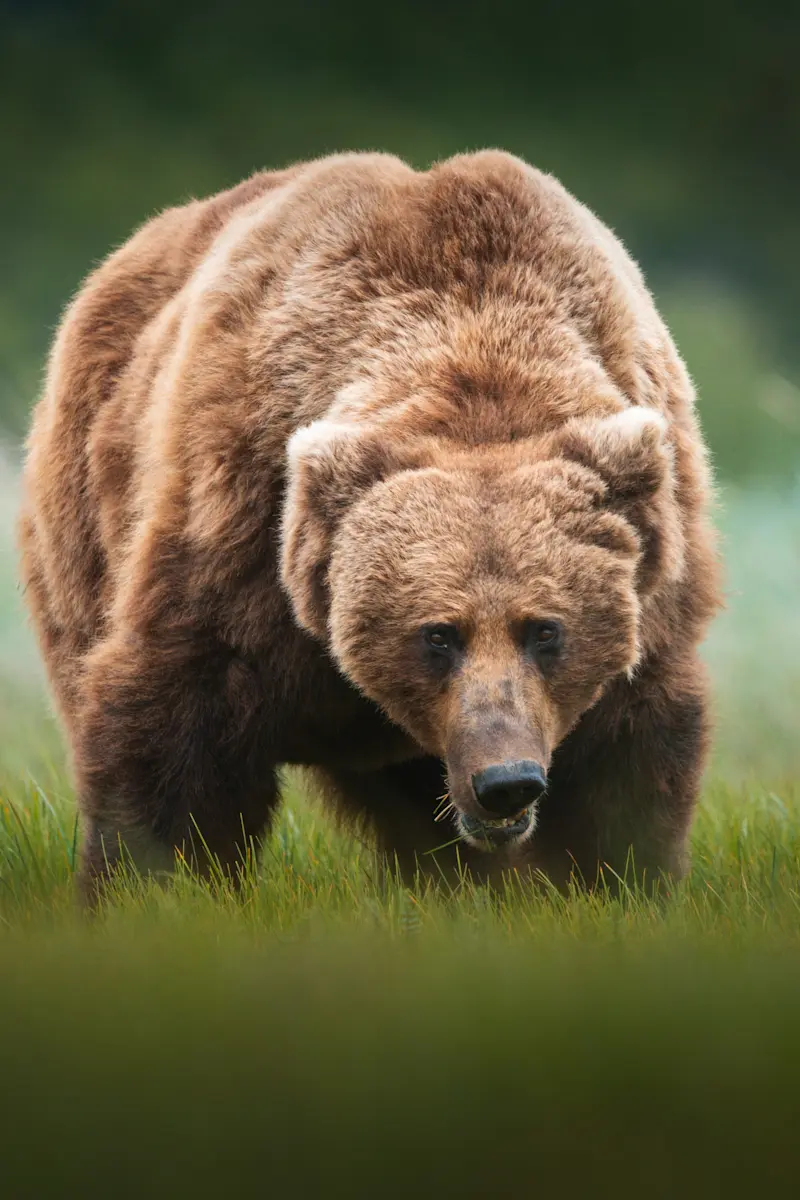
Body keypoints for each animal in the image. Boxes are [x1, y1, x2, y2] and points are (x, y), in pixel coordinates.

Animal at [18, 150, 721, 902]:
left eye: (545, 630)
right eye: (438, 634)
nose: (506, 782)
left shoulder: (655, 575)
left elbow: (626, 759)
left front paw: (613, 882)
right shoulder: (240, 522)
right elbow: (177, 722)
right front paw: (155, 884)